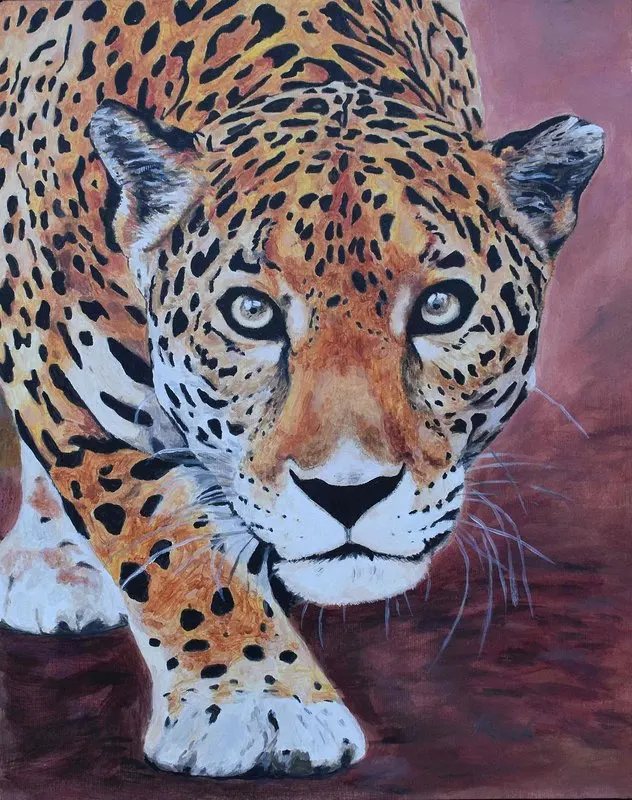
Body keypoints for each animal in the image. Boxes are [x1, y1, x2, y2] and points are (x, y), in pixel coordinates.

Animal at [0, 0, 603, 778]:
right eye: (250, 313)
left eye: (441, 307)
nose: (348, 494)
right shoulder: (65, 372)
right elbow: (165, 539)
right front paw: (258, 698)